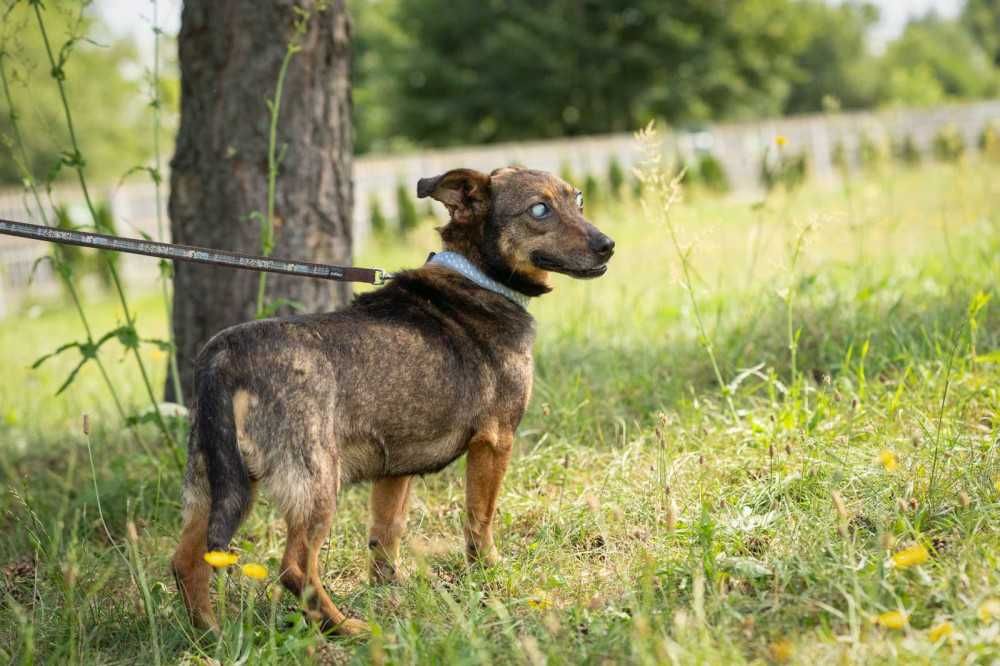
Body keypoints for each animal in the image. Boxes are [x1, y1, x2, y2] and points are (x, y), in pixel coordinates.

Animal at [169, 166, 612, 632]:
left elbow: (386, 534)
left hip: (215, 480)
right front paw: (488, 573)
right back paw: (346, 627)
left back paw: (210, 635)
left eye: (578, 200)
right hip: (316, 481)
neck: (477, 276)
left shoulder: (396, 467)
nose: (608, 245)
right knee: (295, 566)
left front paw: (389, 590)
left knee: (187, 562)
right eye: (539, 210)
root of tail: (222, 359)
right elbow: (480, 520)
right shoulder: (495, 441)